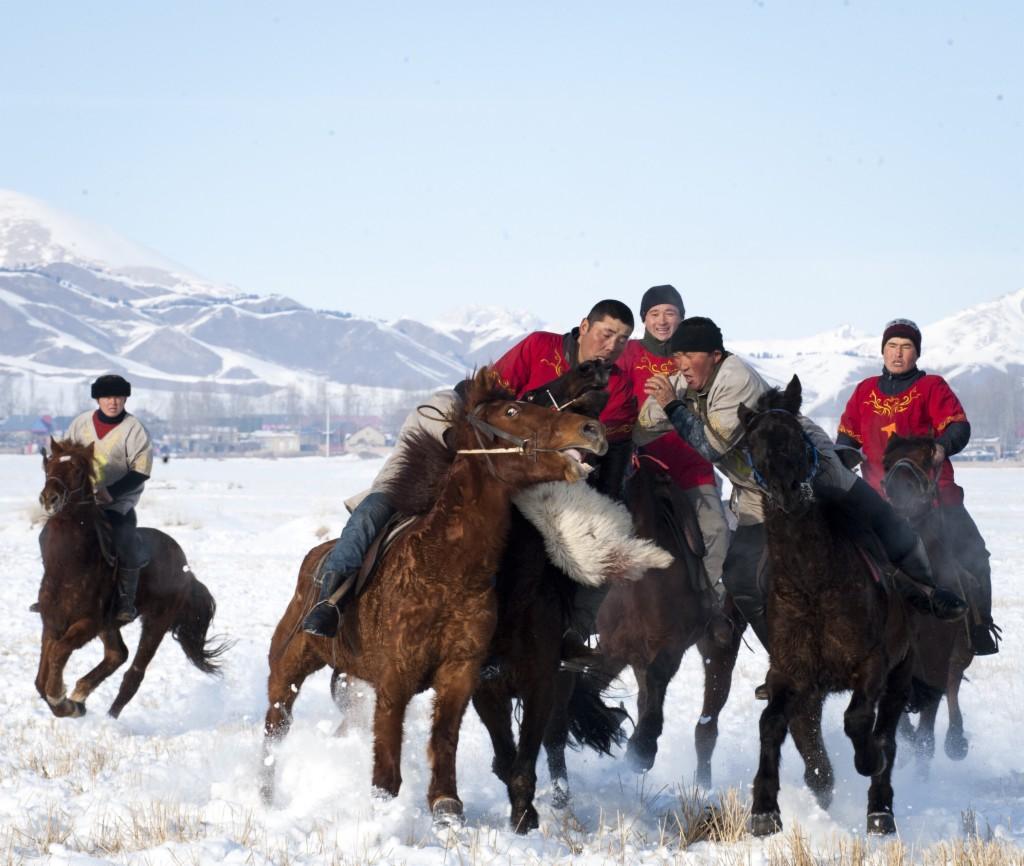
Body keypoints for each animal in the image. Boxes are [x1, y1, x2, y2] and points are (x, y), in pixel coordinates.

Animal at [34, 438, 228, 720]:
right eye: (48, 465)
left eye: (78, 470)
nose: (50, 498)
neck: (69, 567)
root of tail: (186, 569)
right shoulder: (53, 622)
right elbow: (40, 679)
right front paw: (71, 702)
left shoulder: (88, 623)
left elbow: (59, 654)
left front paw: (63, 701)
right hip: (111, 626)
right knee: (118, 654)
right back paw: (81, 693)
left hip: (156, 622)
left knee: (134, 673)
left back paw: (108, 716)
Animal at [258, 368, 606, 827]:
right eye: (513, 411)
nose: (592, 430)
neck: (445, 569)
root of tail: (314, 562)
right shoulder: (396, 679)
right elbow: (387, 764)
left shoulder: (462, 672)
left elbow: (445, 737)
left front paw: (446, 805)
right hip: (288, 669)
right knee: (274, 730)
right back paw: (265, 796)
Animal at [741, 380, 917, 839]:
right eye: (753, 444)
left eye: (797, 434)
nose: (786, 491)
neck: (813, 587)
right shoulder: (790, 672)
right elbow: (771, 724)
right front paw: (765, 809)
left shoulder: (873, 663)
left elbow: (859, 721)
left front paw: (868, 760)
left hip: (901, 672)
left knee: (888, 731)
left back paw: (880, 810)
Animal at [880, 438, 974, 777]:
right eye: (887, 462)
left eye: (927, 458)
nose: (899, 487)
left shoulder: (934, 663)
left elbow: (925, 739)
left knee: (953, 685)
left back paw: (956, 741)